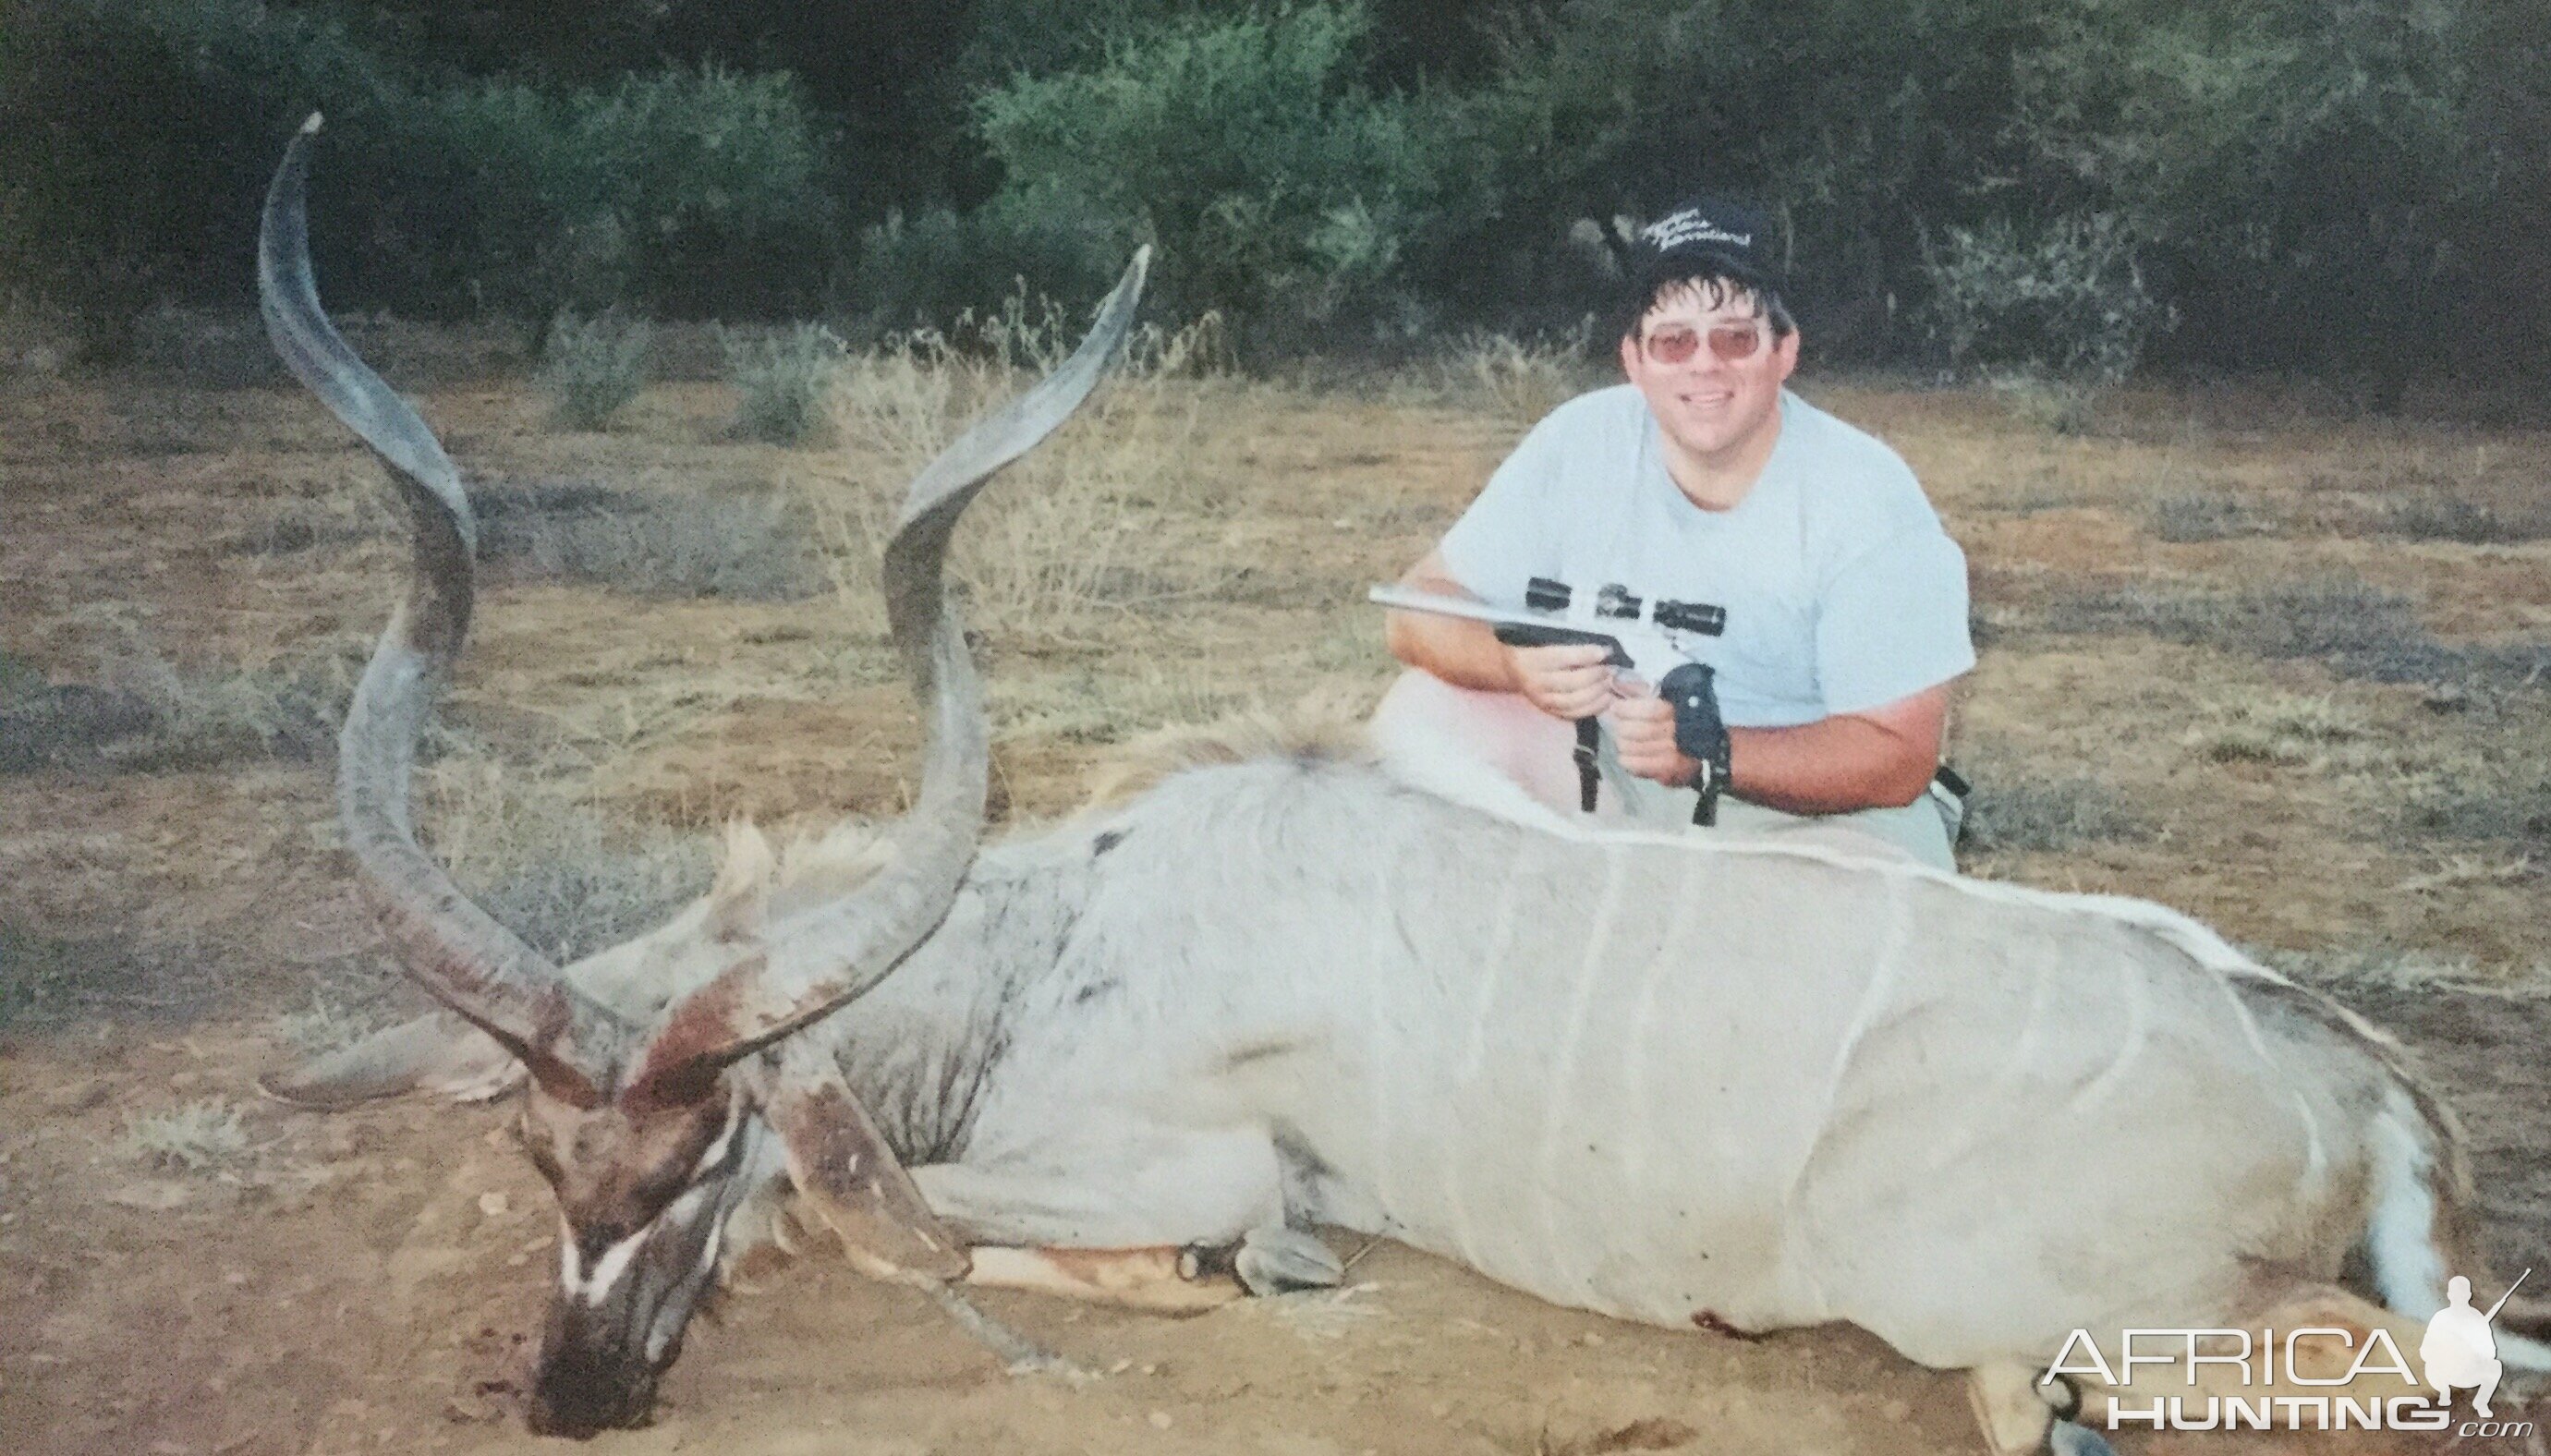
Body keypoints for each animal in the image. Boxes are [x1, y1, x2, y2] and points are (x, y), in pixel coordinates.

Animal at [263, 119, 2551, 1448]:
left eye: (712, 1140)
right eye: (542, 1159)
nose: (572, 1398)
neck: (1068, 923)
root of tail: (2355, 1075)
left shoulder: (1172, 1156)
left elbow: (973, 1233)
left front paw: (1231, 1273)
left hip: (2030, 1302)